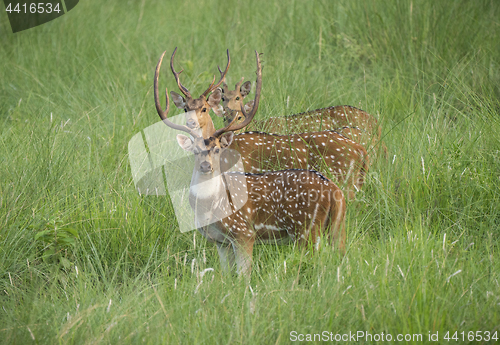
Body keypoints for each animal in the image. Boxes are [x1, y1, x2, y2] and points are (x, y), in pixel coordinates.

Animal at [154, 51, 346, 276]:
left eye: (217, 148)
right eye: (194, 151)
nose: (206, 166)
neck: (210, 209)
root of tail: (335, 191)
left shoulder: (244, 232)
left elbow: (243, 276)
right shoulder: (221, 242)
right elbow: (226, 276)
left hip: (306, 228)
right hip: (337, 228)